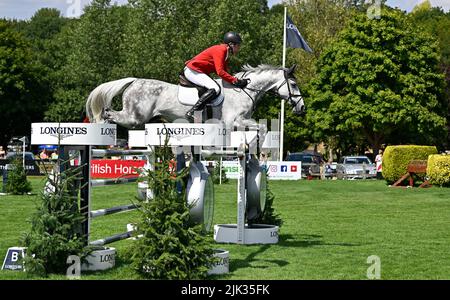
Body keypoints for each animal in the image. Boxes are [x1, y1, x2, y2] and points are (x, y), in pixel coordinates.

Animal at [85, 63, 304, 129]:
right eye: (293, 84)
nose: (302, 108)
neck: (245, 91)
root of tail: (134, 81)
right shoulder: (234, 121)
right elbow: (262, 127)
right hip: (135, 117)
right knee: (108, 112)